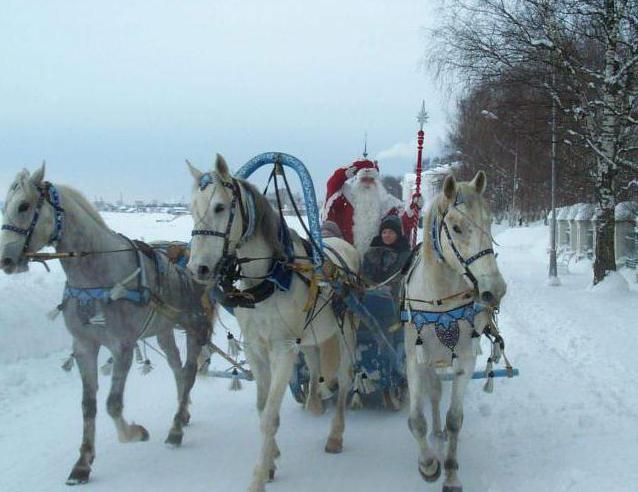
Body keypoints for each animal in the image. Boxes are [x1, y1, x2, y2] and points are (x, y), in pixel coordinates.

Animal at [186, 156, 360, 492]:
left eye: (220, 207)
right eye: (191, 208)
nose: (197, 268)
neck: (269, 278)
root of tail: (345, 247)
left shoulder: (282, 349)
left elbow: (269, 415)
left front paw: (258, 475)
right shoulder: (256, 348)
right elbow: (262, 405)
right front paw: (271, 459)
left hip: (346, 331)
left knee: (345, 381)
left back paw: (335, 433)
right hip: (310, 336)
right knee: (315, 363)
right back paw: (315, 400)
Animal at [404, 172, 510, 492]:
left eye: (489, 221)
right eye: (456, 227)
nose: (494, 289)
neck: (440, 300)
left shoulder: (464, 359)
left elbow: (455, 419)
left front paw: (450, 474)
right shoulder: (415, 360)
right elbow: (417, 419)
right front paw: (428, 464)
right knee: (434, 394)